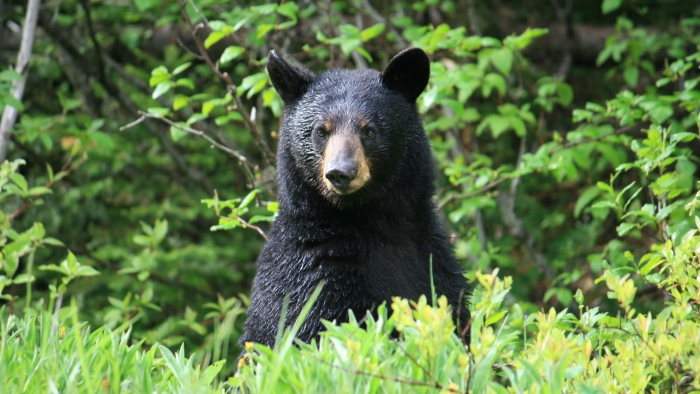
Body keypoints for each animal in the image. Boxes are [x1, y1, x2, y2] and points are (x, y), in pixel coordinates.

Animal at [241, 47, 470, 346]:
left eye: (369, 130)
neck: (370, 220)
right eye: (320, 131)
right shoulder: (313, 279)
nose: (341, 172)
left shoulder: (434, 264)